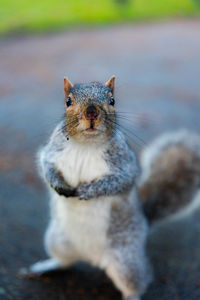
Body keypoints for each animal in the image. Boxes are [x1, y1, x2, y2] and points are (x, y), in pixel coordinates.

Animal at [20, 77, 200, 300]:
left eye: (112, 100)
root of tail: (92, 257)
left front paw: (90, 191)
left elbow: (120, 181)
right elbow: (46, 165)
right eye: (68, 101)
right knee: (65, 261)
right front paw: (58, 184)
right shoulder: (52, 151)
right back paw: (44, 267)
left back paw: (131, 296)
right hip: (56, 240)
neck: (86, 145)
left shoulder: (125, 164)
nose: (91, 113)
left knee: (136, 282)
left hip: (125, 260)